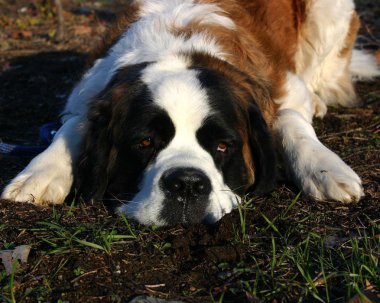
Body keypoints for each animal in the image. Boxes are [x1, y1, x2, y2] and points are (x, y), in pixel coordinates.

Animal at [1, 0, 378, 226]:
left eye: (223, 146)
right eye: (145, 143)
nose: (186, 184)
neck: (179, 48)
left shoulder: (283, 89)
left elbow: (292, 121)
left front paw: (324, 168)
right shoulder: (89, 91)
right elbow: (73, 125)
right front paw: (39, 173)